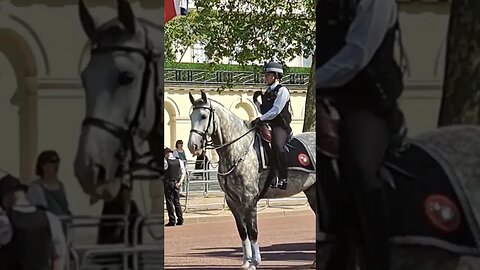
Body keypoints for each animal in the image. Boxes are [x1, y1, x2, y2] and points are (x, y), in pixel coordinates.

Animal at [188, 91, 318, 270]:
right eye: (190, 116)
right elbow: (243, 232)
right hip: (312, 192)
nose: (192, 146)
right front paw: (246, 261)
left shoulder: (249, 199)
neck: (237, 150)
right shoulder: (232, 200)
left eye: (203, 115)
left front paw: (255, 262)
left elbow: (253, 231)